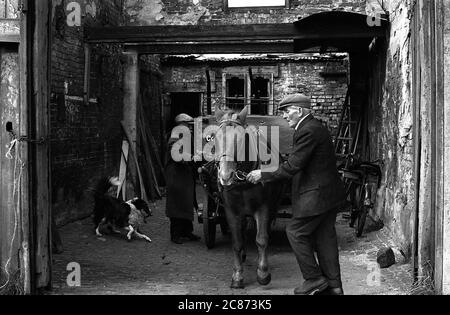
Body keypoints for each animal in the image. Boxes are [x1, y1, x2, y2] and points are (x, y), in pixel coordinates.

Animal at [214, 107, 284, 292]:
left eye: (241, 139)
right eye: (214, 137)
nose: (225, 176)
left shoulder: (263, 208)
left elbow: (261, 239)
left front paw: (263, 273)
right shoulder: (231, 211)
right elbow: (237, 242)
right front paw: (237, 275)